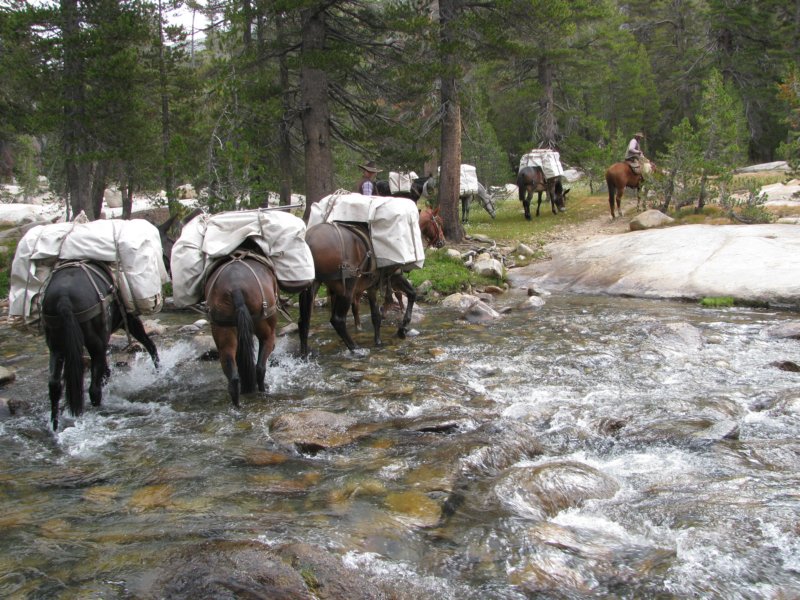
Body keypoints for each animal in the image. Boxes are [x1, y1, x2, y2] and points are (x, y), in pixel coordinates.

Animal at [42, 260, 159, 428]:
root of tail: (64, 299)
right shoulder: (129, 319)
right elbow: (149, 344)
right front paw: (158, 370)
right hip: (95, 343)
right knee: (94, 390)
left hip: (56, 346)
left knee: (54, 384)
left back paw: (55, 425)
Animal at [205, 248, 280, 408]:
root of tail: (236, 288)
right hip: (266, 327)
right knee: (260, 367)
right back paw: (262, 391)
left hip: (223, 327)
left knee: (232, 371)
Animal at [298, 224, 416, 356]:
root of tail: (309, 240)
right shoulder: (395, 276)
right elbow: (411, 294)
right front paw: (402, 328)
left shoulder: (373, 287)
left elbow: (377, 316)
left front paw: (379, 341)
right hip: (347, 290)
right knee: (337, 320)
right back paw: (356, 349)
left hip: (313, 286)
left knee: (304, 321)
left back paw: (304, 355)